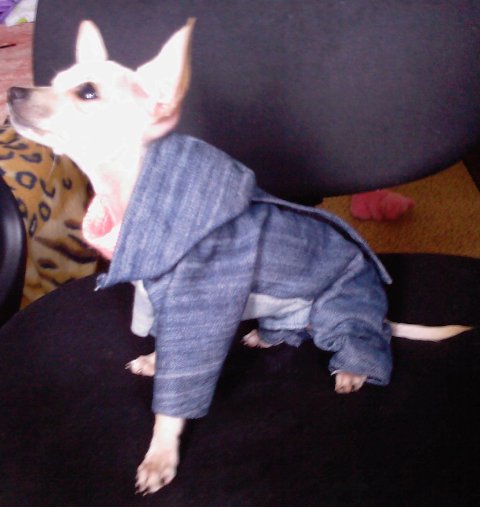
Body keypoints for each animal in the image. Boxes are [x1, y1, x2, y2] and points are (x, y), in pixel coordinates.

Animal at [8, 19, 472, 495]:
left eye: (87, 92)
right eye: (53, 81)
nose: (15, 92)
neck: (133, 196)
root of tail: (378, 312)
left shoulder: (198, 307)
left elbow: (174, 400)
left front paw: (160, 456)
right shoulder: (160, 301)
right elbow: (164, 345)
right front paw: (155, 361)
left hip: (339, 309)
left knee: (363, 337)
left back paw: (353, 369)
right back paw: (266, 337)